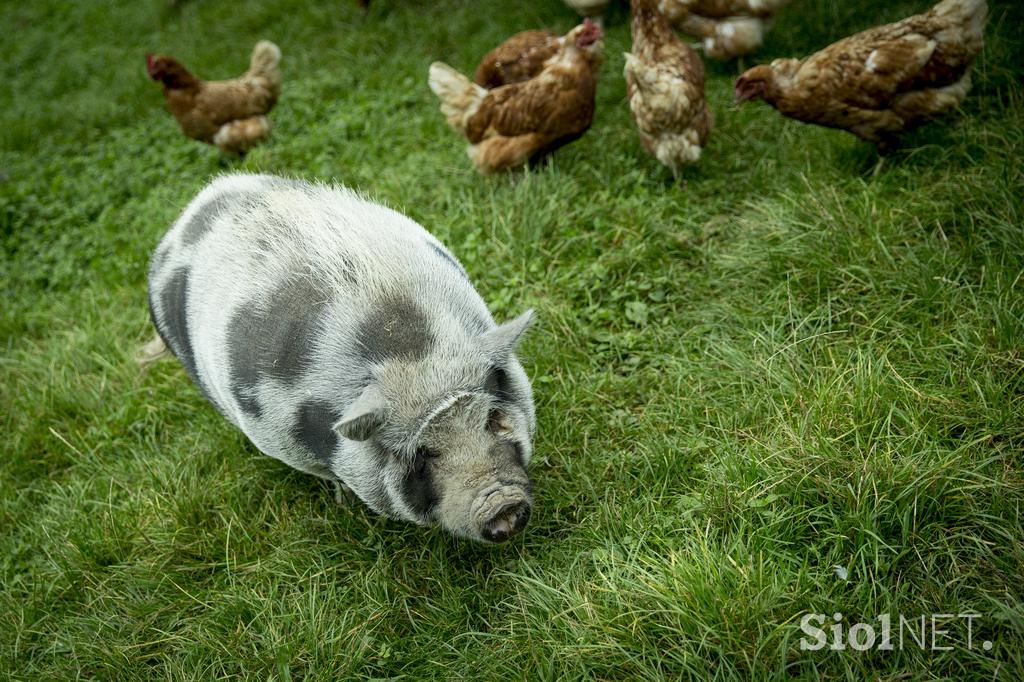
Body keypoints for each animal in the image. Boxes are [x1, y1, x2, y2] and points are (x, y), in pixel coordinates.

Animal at [148, 174, 540, 540]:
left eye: (492, 419)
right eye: (422, 453)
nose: (502, 506)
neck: (411, 354)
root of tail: (189, 212)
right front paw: (343, 498)